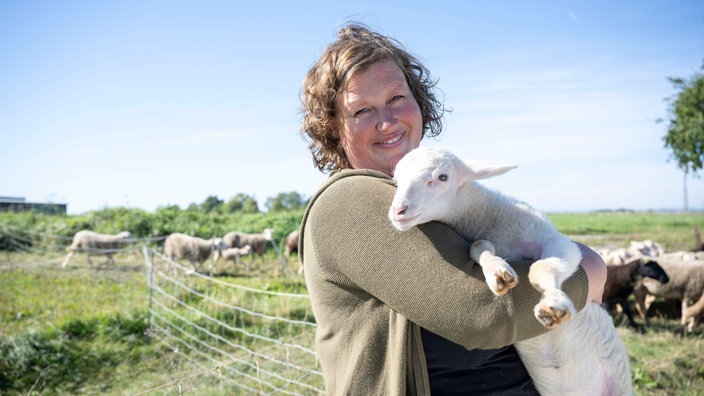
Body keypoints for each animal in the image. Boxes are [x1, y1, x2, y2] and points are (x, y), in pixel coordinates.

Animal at [388, 147, 636, 396]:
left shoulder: (554, 240)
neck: (490, 221)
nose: (398, 211)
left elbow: (539, 267)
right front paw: (498, 273)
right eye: (397, 181)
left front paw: (553, 305)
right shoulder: (485, 239)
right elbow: (478, 246)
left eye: (442, 177)